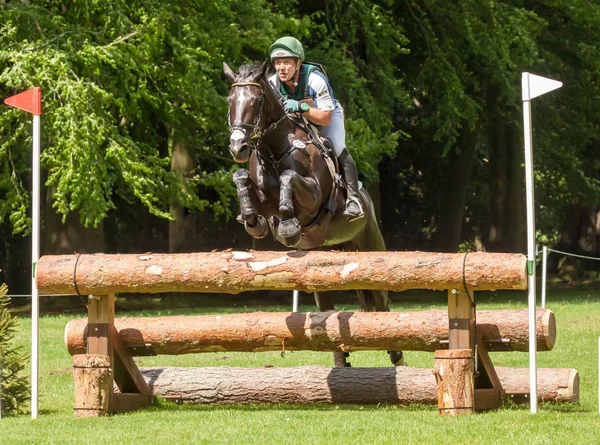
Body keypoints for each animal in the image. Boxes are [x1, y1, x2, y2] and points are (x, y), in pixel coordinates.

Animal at [224, 60, 404, 366]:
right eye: (230, 100)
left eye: (256, 101)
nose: (239, 147)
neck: (275, 148)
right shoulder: (263, 198)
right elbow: (241, 178)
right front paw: (251, 219)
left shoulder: (313, 198)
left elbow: (289, 178)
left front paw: (288, 226)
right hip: (321, 266)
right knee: (327, 309)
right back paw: (341, 363)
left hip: (370, 249)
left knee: (382, 304)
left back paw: (398, 357)